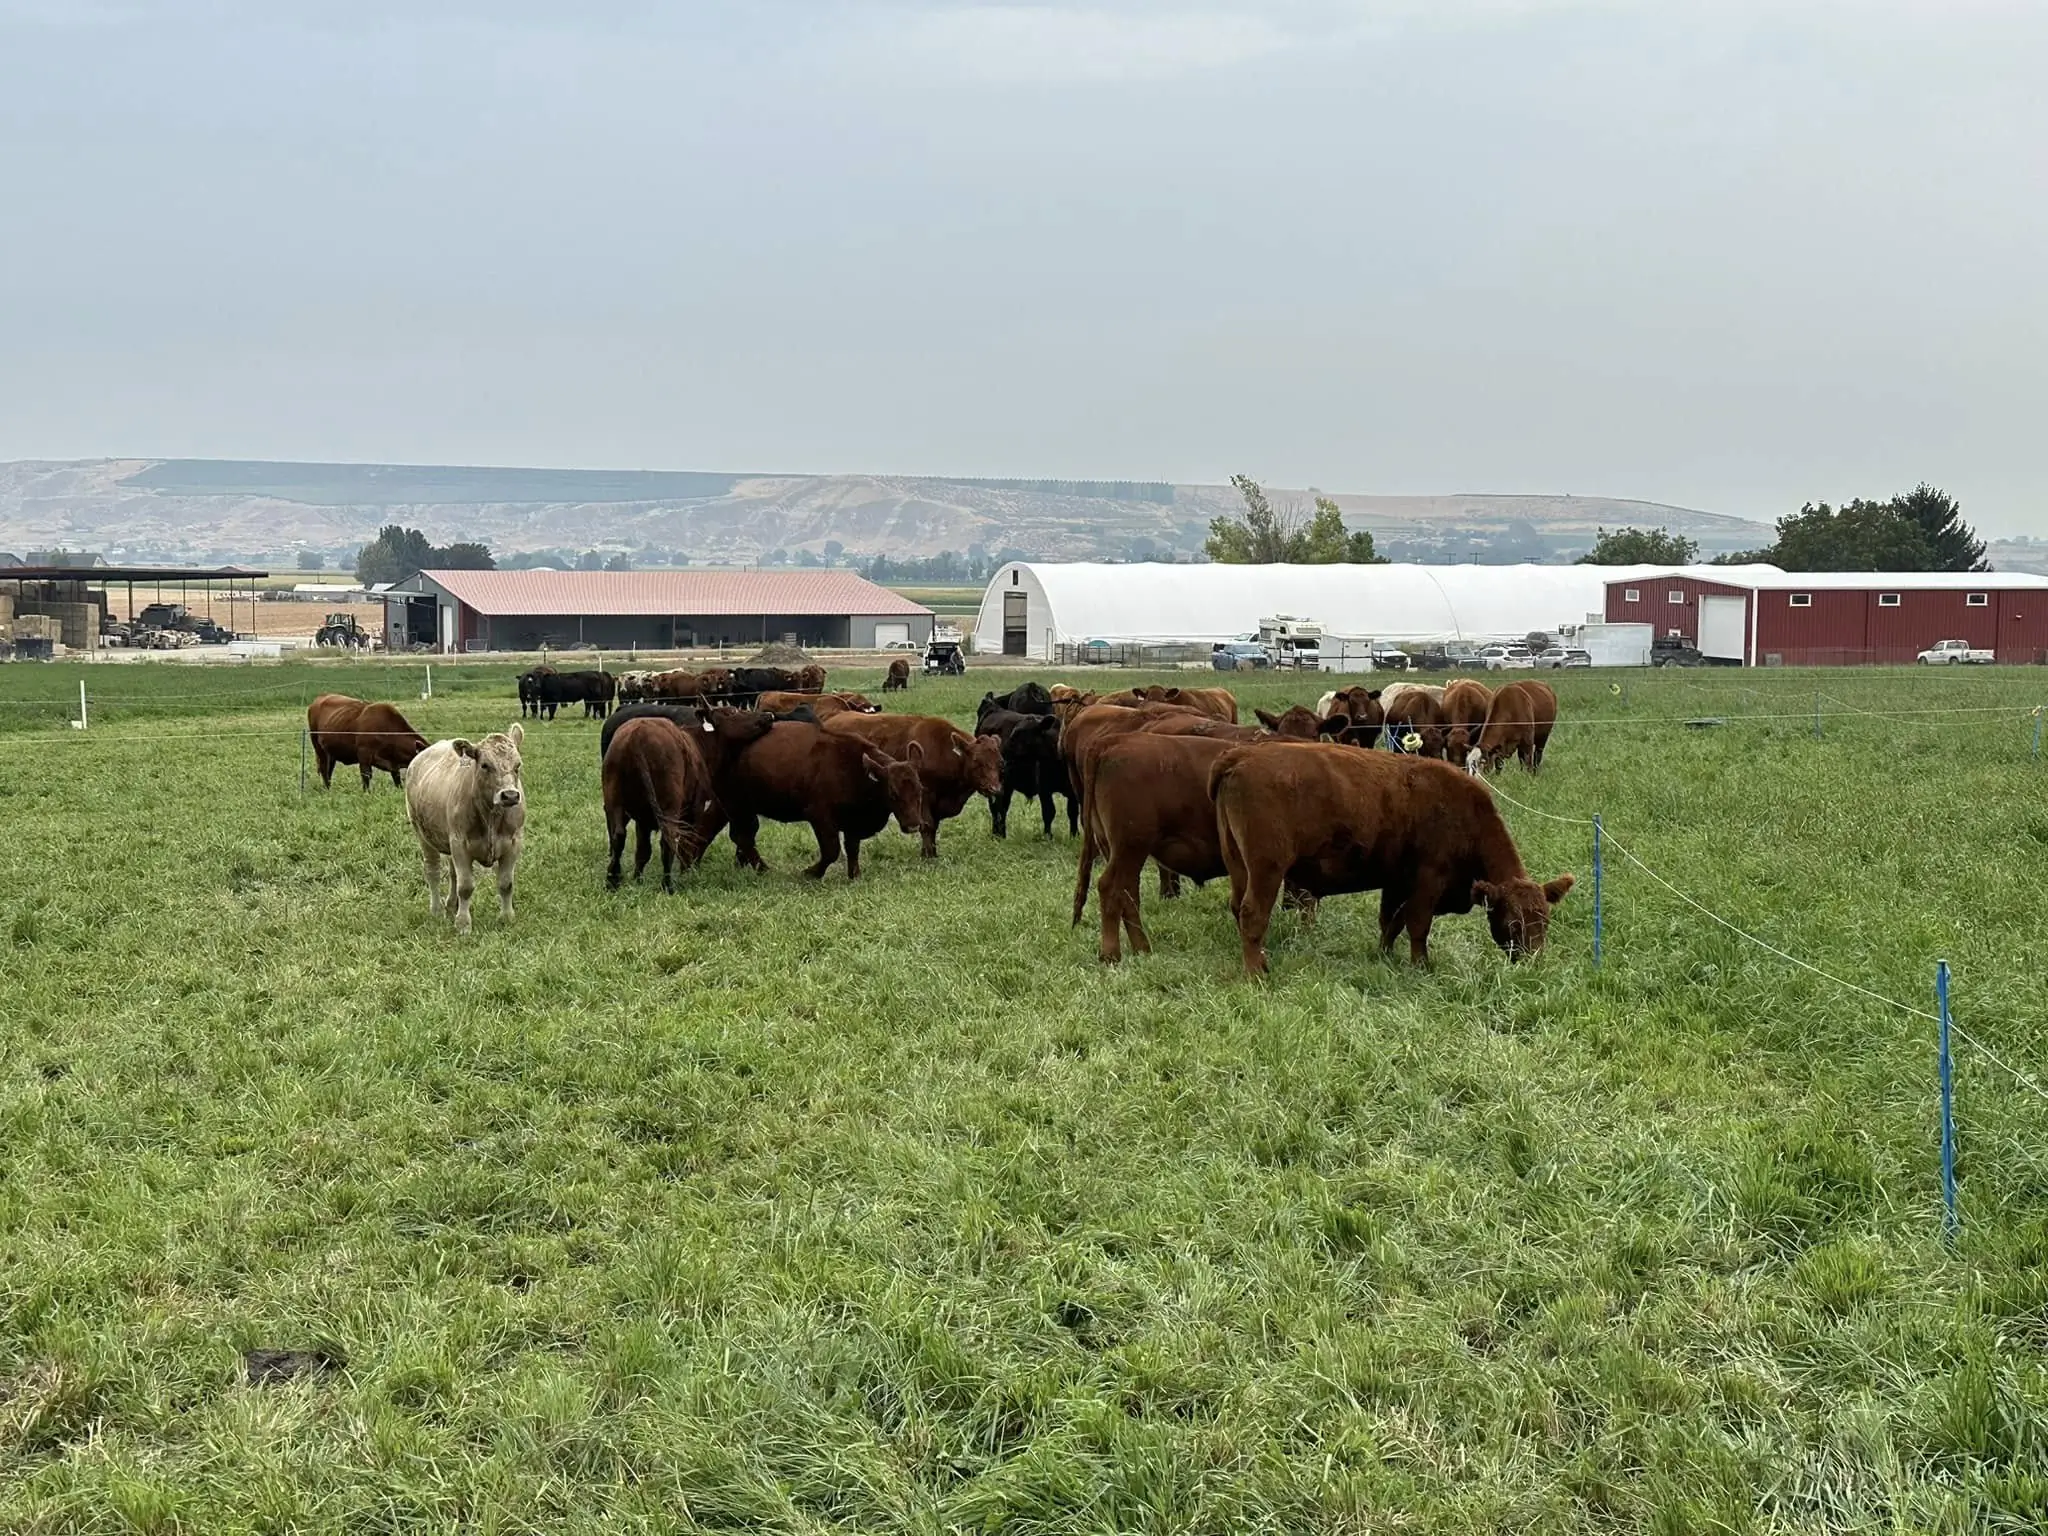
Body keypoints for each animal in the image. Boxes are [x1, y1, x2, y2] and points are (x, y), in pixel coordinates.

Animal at [404, 723, 526, 935]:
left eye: (517, 765)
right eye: (485, 765)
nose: (510, 795)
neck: (491, 816)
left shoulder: (513, 842)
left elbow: (506, 884)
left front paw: (507, 918)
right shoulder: (460, 843)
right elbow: (466, 887)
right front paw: (463, 924)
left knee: (452, 874)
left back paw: (451, 905)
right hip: (423, 835)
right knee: (433, 872)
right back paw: (436, 910)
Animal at [602, 717, 712, 893]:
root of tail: (637, 735)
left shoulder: (642, 820)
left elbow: (642, 850)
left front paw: (637, 879)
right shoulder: (696, 809)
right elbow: (687, 843)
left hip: (614, 801)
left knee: (618, 836)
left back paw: (613, 880)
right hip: (669, 807)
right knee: (668, 840)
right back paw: (667, 885)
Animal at [702, 714, 927, 879]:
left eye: (920, 790)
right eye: (893, 793)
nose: (913, 825)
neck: (855, 768)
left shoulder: (852, 821)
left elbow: (852, 848)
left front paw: (854, 875)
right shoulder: (821, 818)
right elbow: (831, 851)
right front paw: (811, 872)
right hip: (737, 806)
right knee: (743, 837)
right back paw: (763, 869)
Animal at [824, 711, 1004, 857]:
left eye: (1000, 762)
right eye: (977, 762)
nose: (994, 788)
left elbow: (932, 826)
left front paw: (930, 852)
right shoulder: (924, 796)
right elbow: (927, 825)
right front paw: (928, 856)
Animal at [1210, 742, 1573, 975]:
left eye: (1544, 921)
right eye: (1514, 923)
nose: (1534, 964)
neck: (1465, 814)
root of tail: (1241, 755)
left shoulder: (1397, 883)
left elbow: (1391, 922)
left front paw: (1384, 956)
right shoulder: (1428, 881)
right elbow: (1417, 925)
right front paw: (1421, 966)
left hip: (1238, 865)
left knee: (1238, 909)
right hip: (1266, 869)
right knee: (1253, 914)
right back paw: (1256, 974)